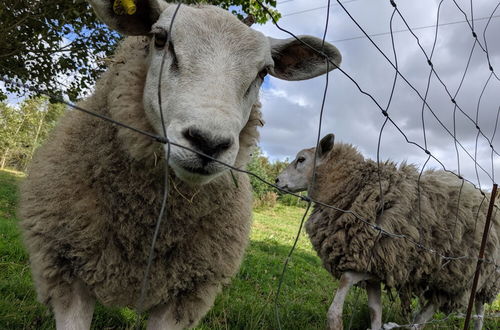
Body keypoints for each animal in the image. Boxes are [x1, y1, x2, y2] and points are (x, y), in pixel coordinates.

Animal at [18, 1, 340, 328]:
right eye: (160, 39)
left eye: (263, 72)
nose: (209, 143)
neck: (143, 225)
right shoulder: (66, 274)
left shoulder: (185, 295)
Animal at [276, 134, 498, 330]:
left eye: (301, 159)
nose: (277, 180)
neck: (355, 187)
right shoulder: (374, 268)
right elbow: (375, 312)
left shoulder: (369, 259)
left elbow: (342, 289)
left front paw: (335, 322)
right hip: (456, 277)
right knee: (436, 311)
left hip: (469, 276)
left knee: (466, 310)